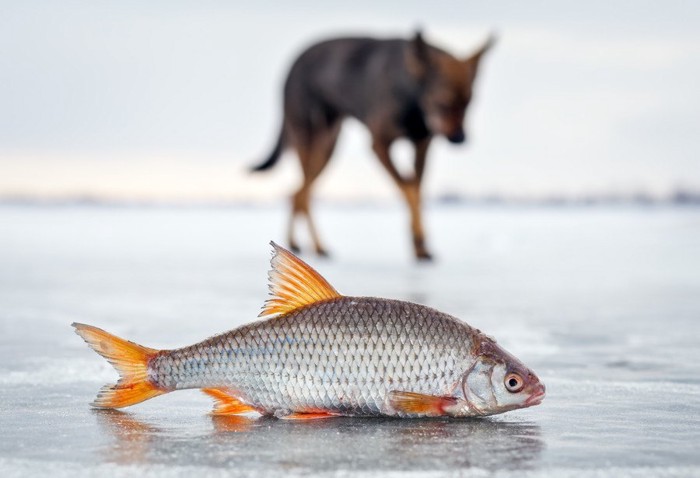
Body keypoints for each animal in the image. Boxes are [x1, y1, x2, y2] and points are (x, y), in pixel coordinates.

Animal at [252, 31, 492, 260]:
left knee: (299, 193)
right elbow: (407, 189)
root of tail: (295, 62)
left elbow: (416, 190)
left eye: (469, 102)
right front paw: (418, 240)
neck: (412, 98)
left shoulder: (421, 146)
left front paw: (420, 245)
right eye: (443, 102)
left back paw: (303, 245)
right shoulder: (379, 145)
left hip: (328, 146)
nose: (460, 139)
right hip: (310, 138)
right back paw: (312, 245)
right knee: (302, 193)